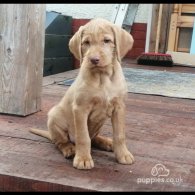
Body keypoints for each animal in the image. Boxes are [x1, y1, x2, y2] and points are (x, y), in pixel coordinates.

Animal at [30, 17, 134, 169]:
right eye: (86, 43)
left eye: (107, 40)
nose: (94, 60)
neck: (102, 77)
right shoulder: (80, 109)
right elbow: (83, 137)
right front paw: (83, 159)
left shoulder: (119, 107)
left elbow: (120, 135)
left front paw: (123, 154)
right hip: (54, 116)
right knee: (61, 141)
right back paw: (69, 149)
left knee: (94, 138)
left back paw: (107, 142)